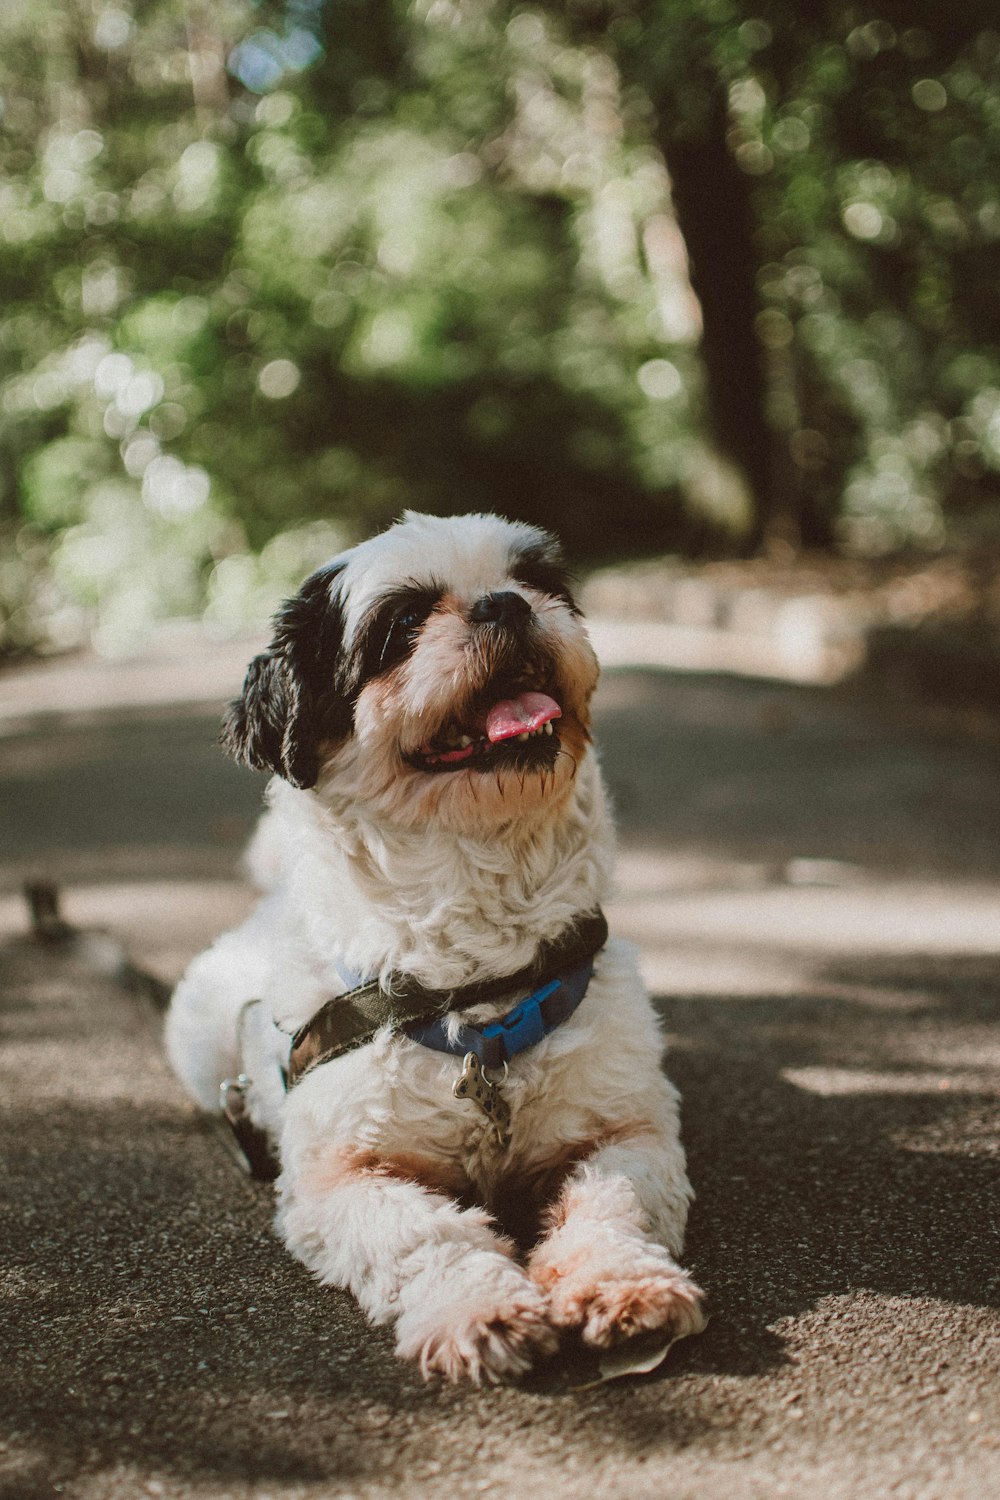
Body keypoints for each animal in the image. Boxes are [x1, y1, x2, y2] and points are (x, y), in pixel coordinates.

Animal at [166, 513, 704, 1380]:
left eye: (539, 583)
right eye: (404, 623)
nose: (503, 604)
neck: (474, 981)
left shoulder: (623, 1133)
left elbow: (614, 1206)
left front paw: (624, 1286)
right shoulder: (342, 1176)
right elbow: (422, 1235)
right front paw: (478, 1309)